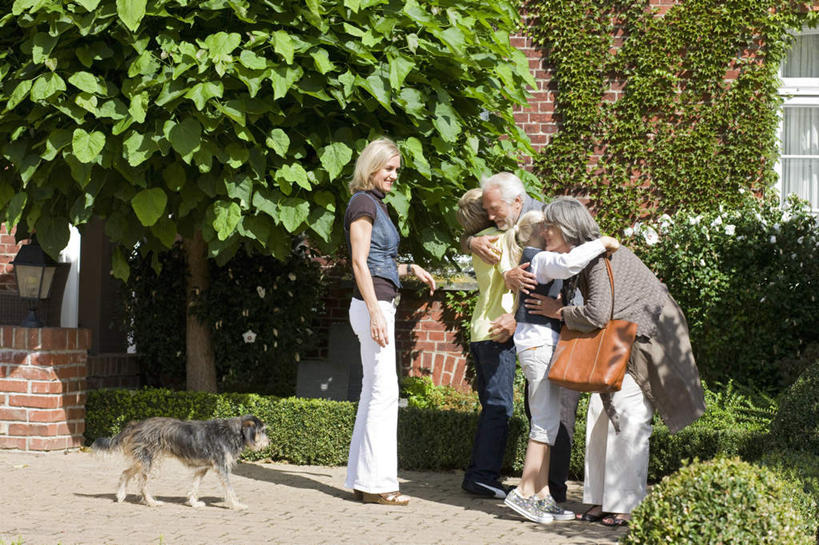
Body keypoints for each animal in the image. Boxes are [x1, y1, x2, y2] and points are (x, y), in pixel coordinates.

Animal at [93, 414, 270, 508]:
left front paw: (194, 503)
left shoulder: (202, 468)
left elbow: (195, 486)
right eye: (262, 431)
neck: (233, 432)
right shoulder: (221, 468)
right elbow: (230, 489)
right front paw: (237, 505)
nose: (268, 443)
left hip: (143, 461)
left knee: (125, 473)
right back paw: (151, 502)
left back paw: (121, 495)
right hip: (149, 462)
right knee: (142, 485)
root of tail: (136, 425)